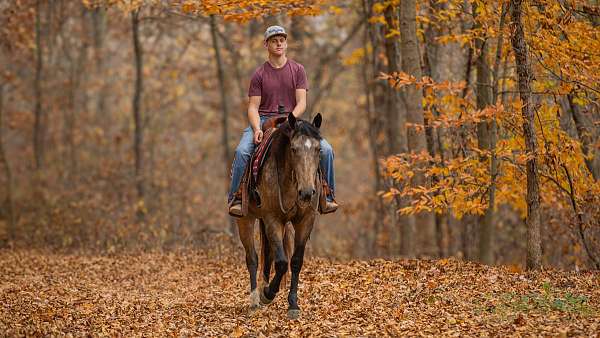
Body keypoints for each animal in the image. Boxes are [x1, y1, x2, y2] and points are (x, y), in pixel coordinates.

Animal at [234, 113, 324, 320]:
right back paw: (255, 300)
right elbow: (282, 263)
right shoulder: (273, 220)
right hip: (245, 219)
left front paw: (293, 305)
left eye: (318, 149)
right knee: (252, 258)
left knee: (267, 255)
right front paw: (268, 294)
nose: (307, 193)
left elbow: (296, 261)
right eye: (293, 149)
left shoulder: (306, 220)